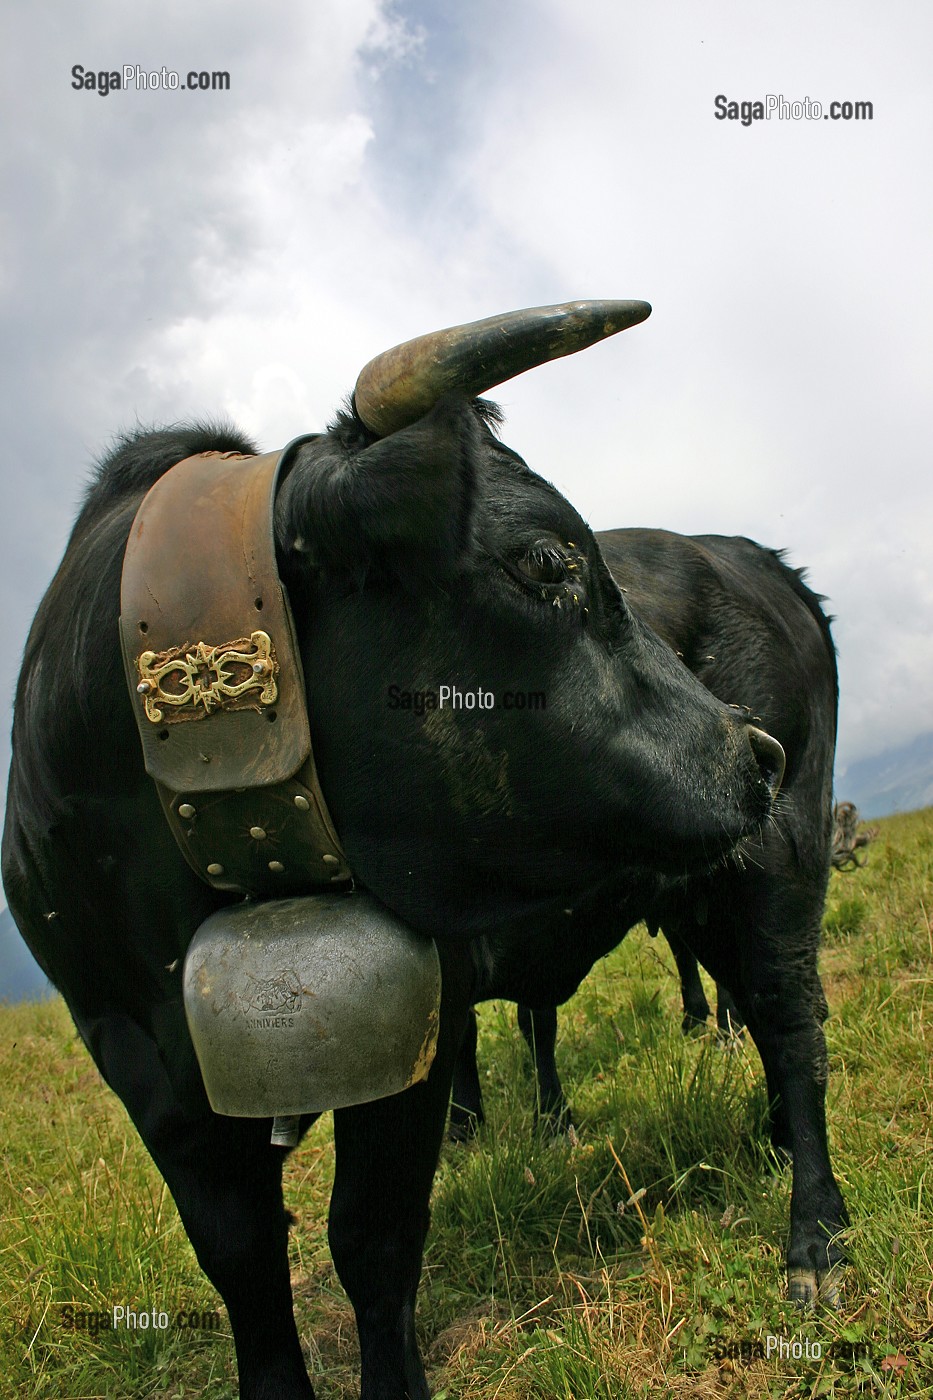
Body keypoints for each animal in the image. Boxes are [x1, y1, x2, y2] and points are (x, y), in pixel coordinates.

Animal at [3, 301, 798, 1400]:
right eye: (545, 562)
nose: (752, 754)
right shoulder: (129, 1051)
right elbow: (240, 1255)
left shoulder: (417, 1012)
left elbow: (372, 1238)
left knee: (769, 1005)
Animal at [451, 528, 849, 1307]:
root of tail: (752, 555)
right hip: (708, 901)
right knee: (759, 1009)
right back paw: (776, 1139)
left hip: (777, 848)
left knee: (791, 1022)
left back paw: (816, 1235)